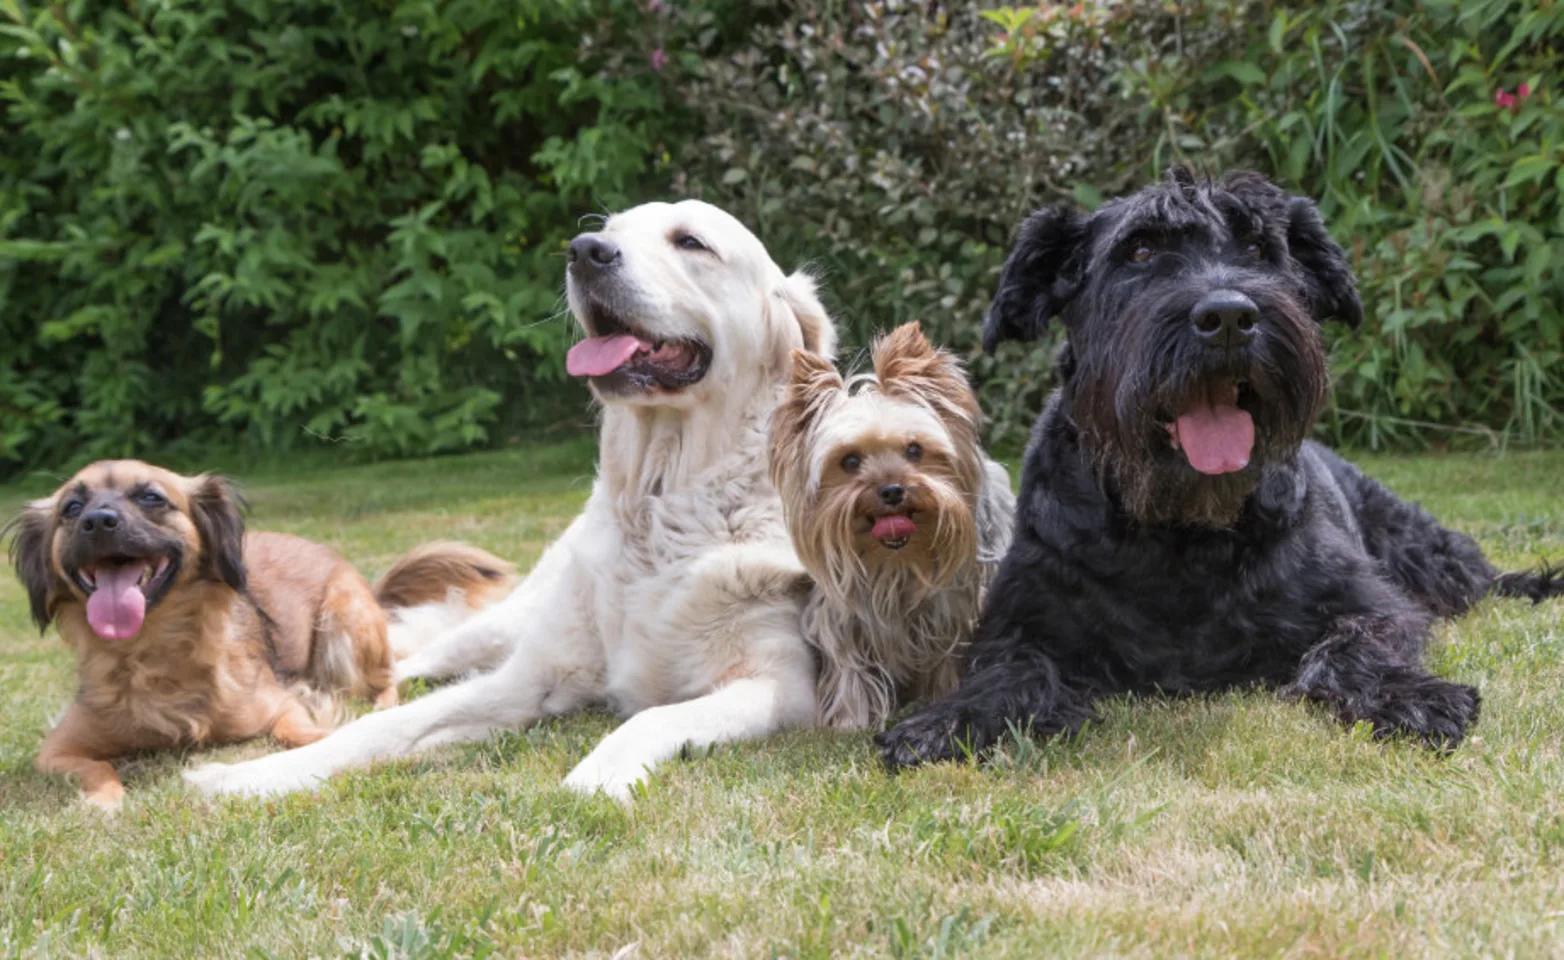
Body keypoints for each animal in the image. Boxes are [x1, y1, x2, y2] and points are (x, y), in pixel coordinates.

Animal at [6, 459, 519, 813]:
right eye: (71, 508)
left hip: (344, 622)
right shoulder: (57, 750)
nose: (97, 521)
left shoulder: (276, 702)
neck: (153, 651)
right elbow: (96, 766)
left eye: (151, 497)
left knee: (387, 678)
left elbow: (300, 730)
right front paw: (106, 801)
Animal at [882, 169, 1564, 772]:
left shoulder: (1371, 604)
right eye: (1140, 249)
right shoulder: (1018, 622)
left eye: (1260, 248)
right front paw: (949, 720)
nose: (1231, 317)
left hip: (1421, 546)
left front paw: (1412, 696)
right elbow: (1010, 669)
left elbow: (1352, 646)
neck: (1180, 529)